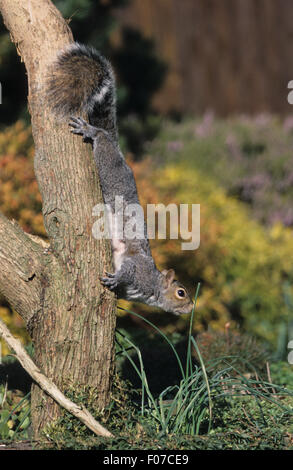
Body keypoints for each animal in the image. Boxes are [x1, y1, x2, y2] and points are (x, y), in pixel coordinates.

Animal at [45, 43, 193, 316]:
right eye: (181, 292)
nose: (191, 308)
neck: (153, 289)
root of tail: (118, 150)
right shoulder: (137, 269)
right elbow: (128, 270)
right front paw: (116, 278)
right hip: (108, 168)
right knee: (101, 137)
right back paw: (91, 131)